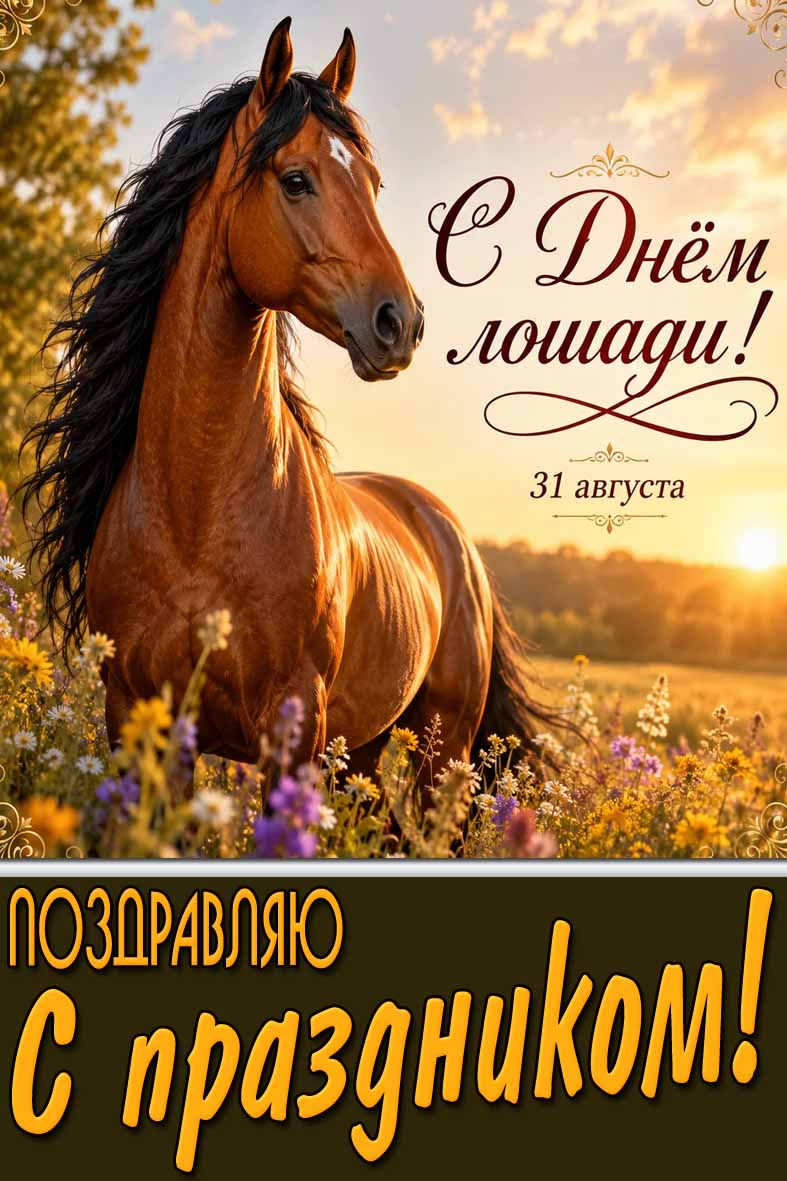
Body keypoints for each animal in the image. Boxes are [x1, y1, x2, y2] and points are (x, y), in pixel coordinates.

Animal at [22, 17, 553, 775]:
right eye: (296, 180)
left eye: (372, 182)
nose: (401, 322)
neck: (194, 513)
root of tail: (446, 528)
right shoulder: (138, 718)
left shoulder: (293, 724)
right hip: (363, 749)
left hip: (436, 746)